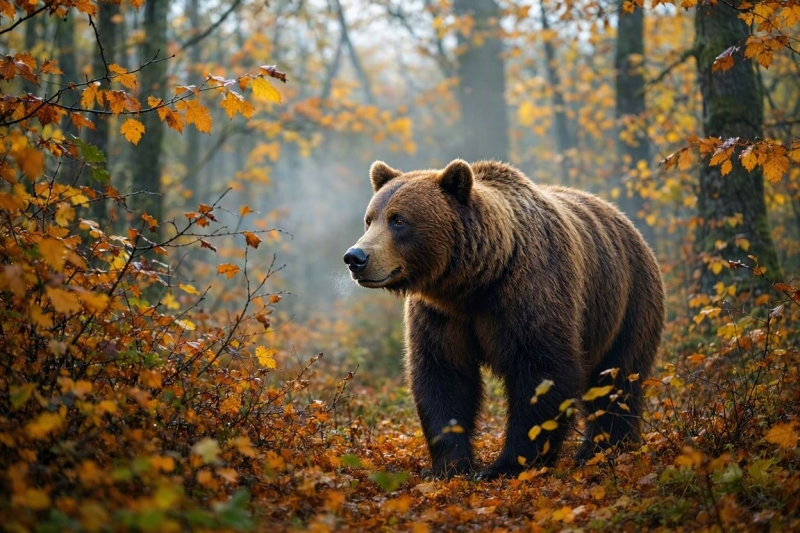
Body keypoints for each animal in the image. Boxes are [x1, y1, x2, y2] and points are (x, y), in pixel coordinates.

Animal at [343, 159, 665, 480]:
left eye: (399, 220)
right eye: (370, 219)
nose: (355, 257)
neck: (474, 282)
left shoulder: (529, 293)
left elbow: (541, 372)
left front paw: (507, 465)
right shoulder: (440, 315)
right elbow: (442, 375)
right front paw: (449, 465)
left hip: (627, 303)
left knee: (617, 377)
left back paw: (604, 448)